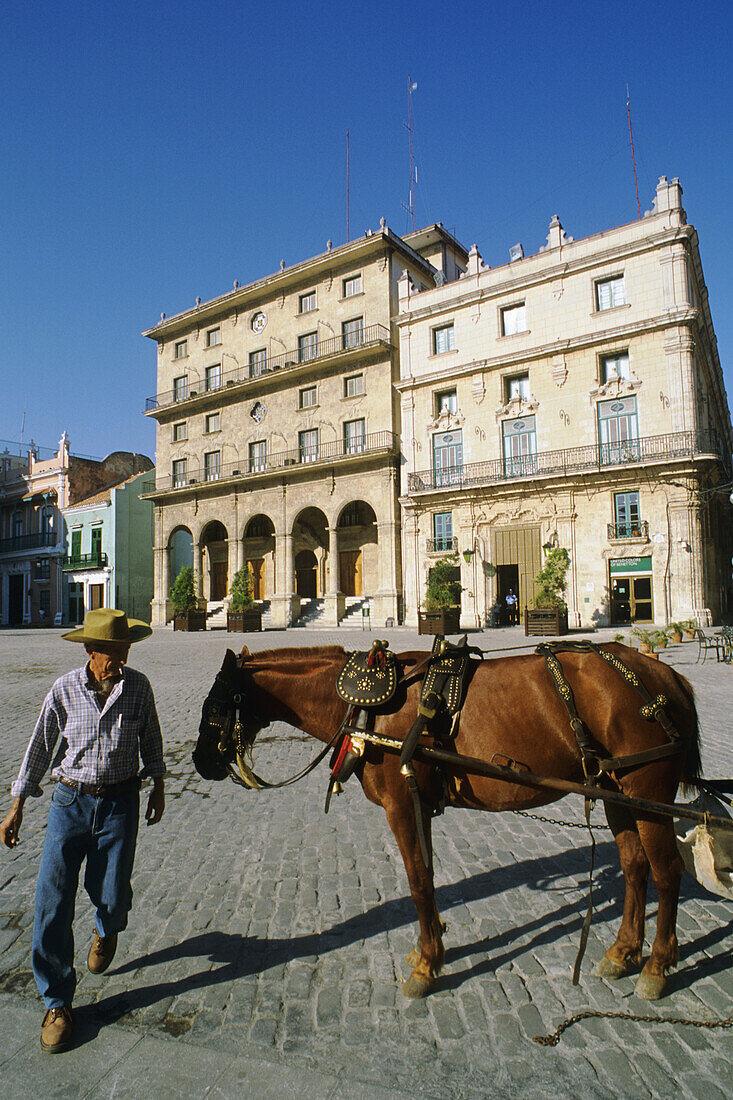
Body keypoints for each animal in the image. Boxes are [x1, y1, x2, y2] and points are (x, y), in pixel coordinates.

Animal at [191, 642, 699, 1003]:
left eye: (213, 707)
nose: (199, 762)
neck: (366, 708)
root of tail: (667, 675)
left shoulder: (401, 804)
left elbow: (417, 881)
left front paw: (425, 968)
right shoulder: (420, 802)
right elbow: (429, 878)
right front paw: (430, 950)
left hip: (649, 796)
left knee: (667, 871)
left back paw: (655, 968)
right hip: (618, 795)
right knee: (635, 866)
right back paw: (622, 952)